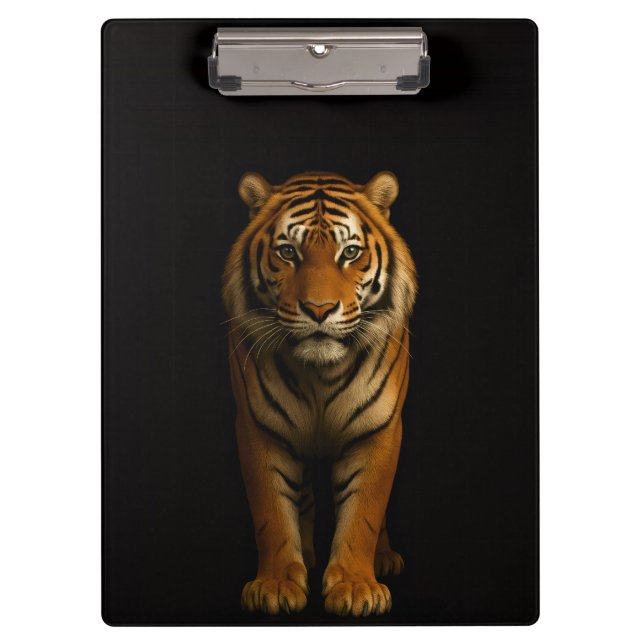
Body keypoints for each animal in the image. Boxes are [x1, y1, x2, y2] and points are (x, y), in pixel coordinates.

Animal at [222, 170, 417, 617]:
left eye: (350, 252)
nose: (319, 309)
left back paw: (383, 558)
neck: (319, 374)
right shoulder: (258, 428)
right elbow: (272, 512)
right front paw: (276, 585)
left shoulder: (379, 429)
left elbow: (365, 512)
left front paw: (357, 587)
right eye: (287, 252)